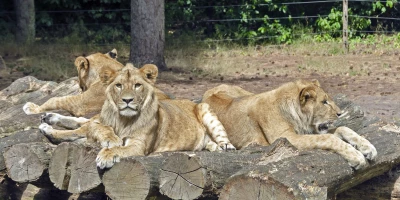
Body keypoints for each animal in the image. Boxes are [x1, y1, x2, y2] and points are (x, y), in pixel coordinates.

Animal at [38, 63, 234, 168]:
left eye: (137, 85)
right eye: (118, 85)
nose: (127, 100)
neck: (123, 119)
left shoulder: (138, 145)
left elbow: (117, 148)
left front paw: (106, 155)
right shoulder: (102, 123)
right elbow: (101, 130)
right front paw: (110, 140)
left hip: (205, 108)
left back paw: (224, 147)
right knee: (78, 128)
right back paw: (48, 121)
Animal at [203, 80, 378, 170]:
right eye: (324, 102)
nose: (340, 113)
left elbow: (343, 128)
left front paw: (368, 148)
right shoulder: (286, 137)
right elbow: (329, 138)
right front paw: (356, 156)